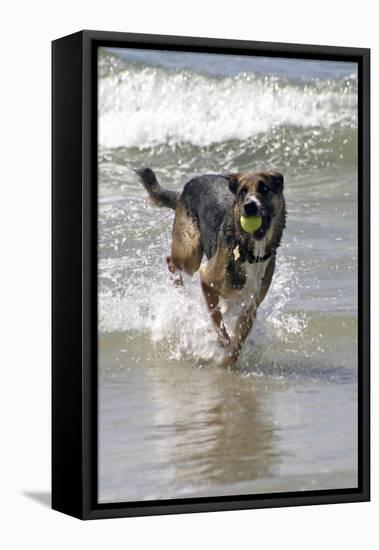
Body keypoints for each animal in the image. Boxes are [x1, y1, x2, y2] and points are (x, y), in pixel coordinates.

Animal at [135, 168, 286, 366]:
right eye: (243, 192)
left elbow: (238, 342)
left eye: (265, 188)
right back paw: (181, 296)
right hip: (190, 253)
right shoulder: (206, 278)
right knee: (171, 261)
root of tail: (187, 187)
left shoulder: (250, 307)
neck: (248, 250)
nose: (249, 206)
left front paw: (228, 361)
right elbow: (216, 317)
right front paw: (221, 340)